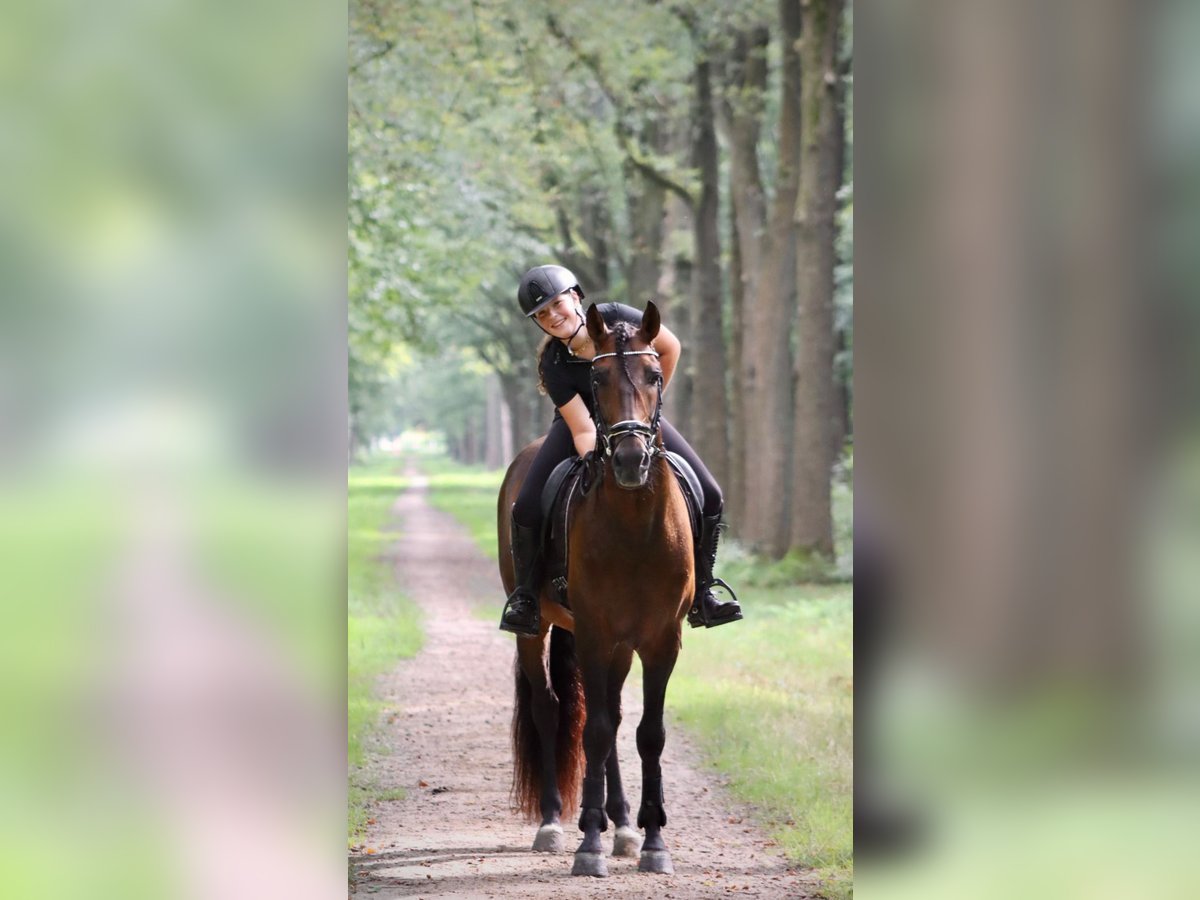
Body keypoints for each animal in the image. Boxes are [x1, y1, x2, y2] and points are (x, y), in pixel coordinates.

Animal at [496, 301, 696, 873]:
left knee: (610, 715)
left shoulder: (661, 639)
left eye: (654, 375)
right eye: (596, 380)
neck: (634, 524)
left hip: (620, 644)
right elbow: (595, 731)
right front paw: (588, 842)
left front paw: (652, 841)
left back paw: (624, 825)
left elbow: (647, 733)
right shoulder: (592, 631)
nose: (630, 461)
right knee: (552, 710)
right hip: (542, 628)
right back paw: (552, 823)